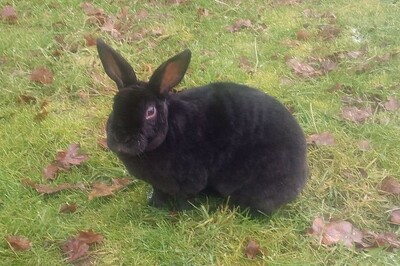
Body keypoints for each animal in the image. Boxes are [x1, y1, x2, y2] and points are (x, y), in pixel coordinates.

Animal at [97, 39, 310, 214]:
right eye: (114, 104)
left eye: (150, 112)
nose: (121, 137)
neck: (167, 135)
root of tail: (301, 174)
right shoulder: (159, 185)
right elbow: (159, 193)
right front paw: (154, 205)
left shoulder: (189, 181)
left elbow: (184, 199)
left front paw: (181, 213)